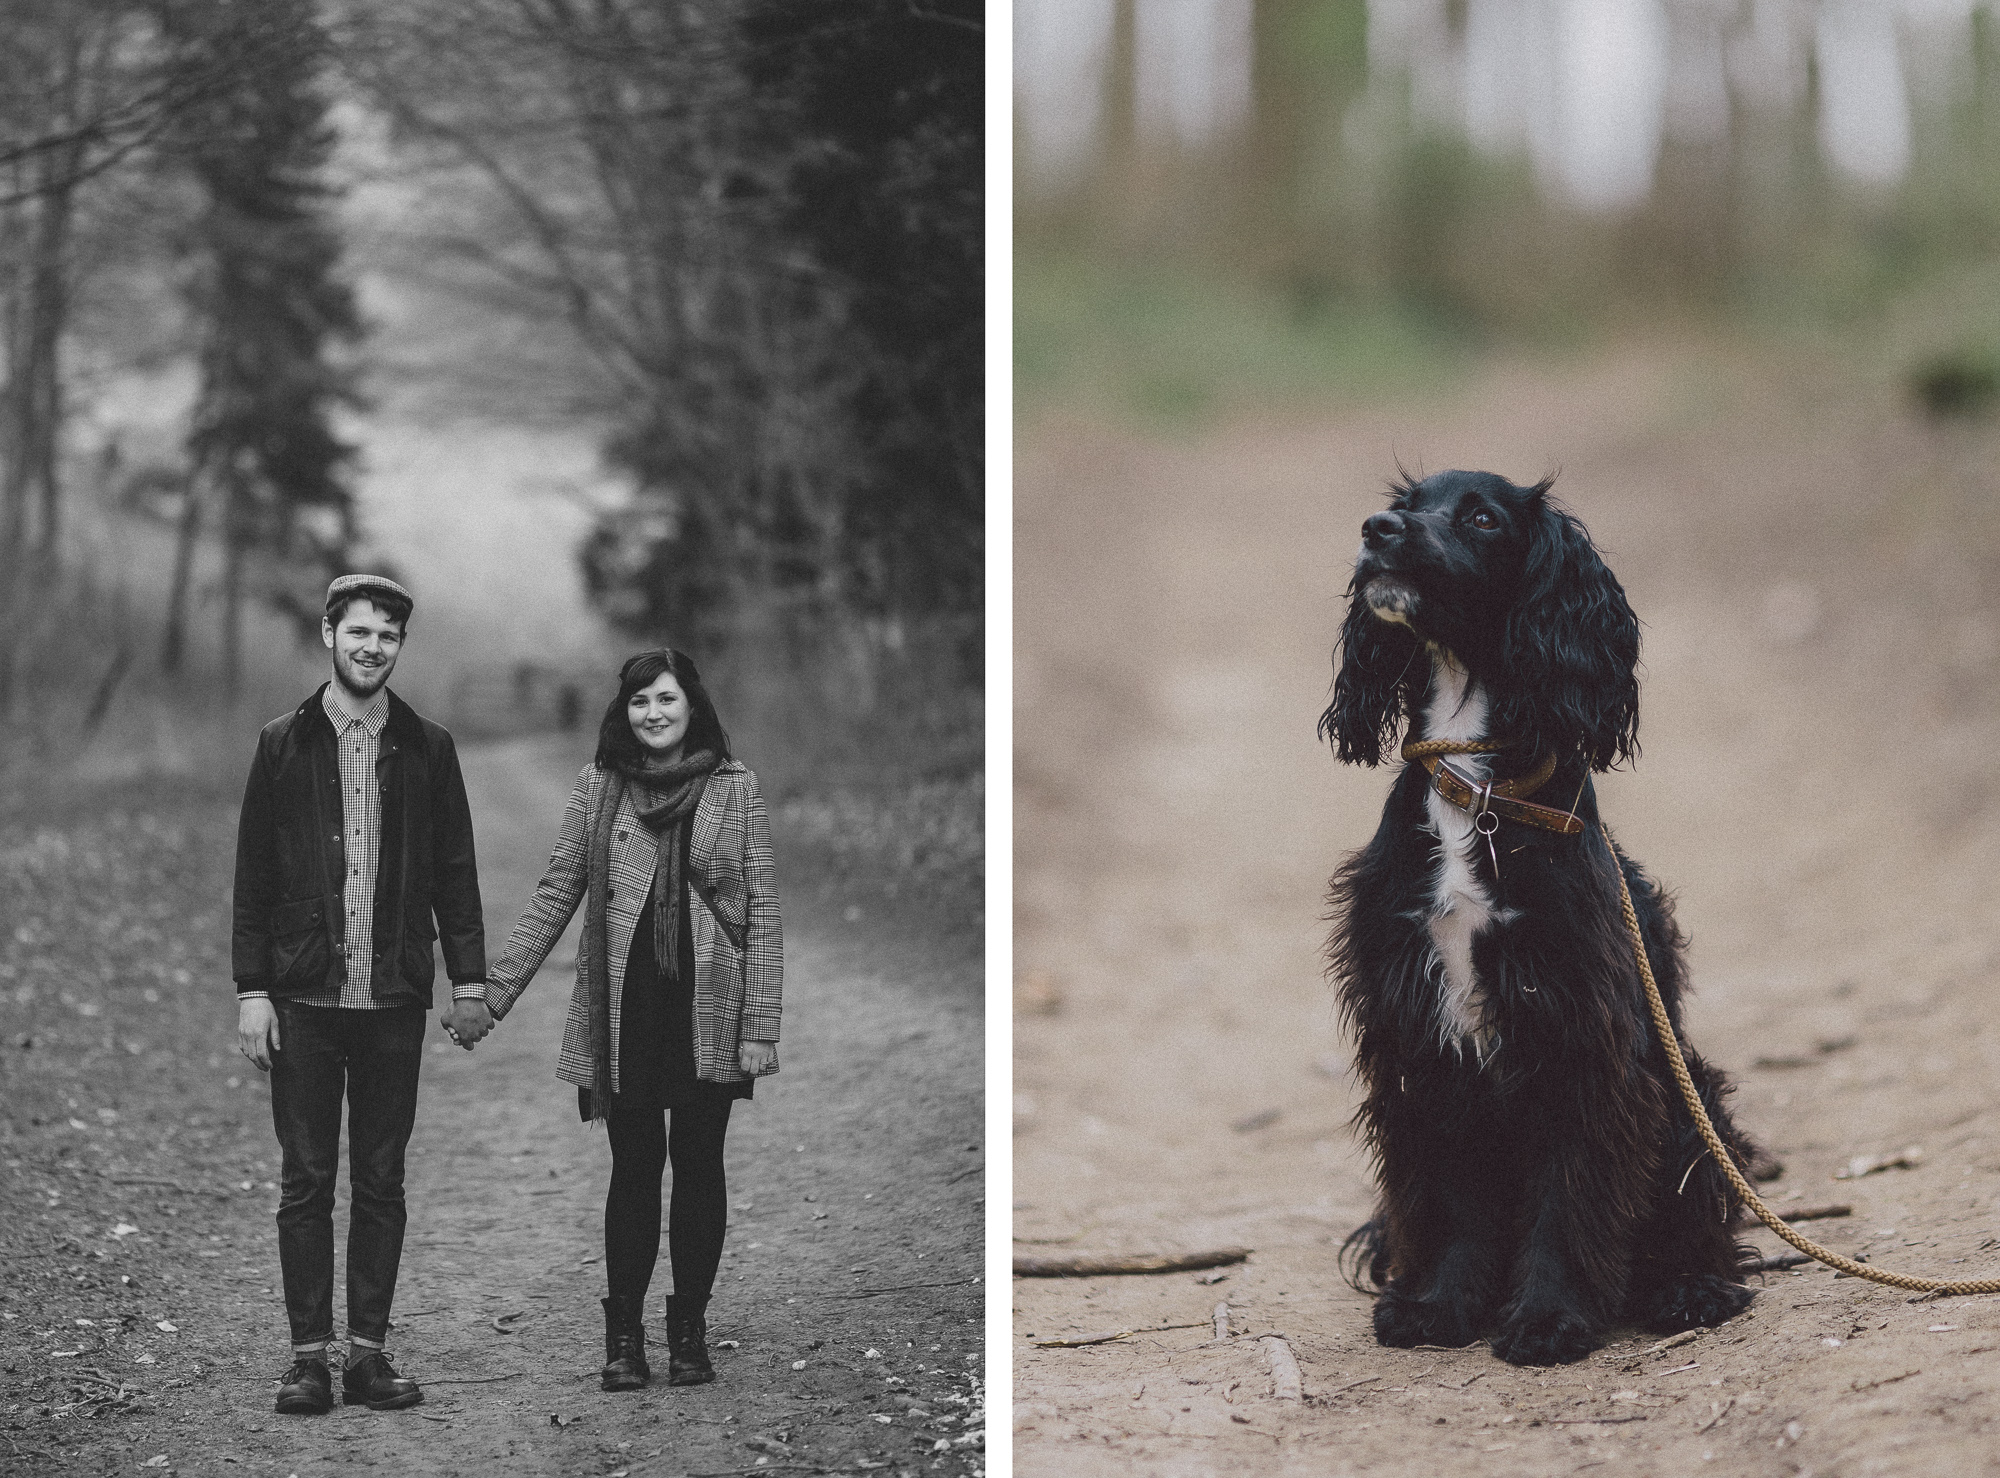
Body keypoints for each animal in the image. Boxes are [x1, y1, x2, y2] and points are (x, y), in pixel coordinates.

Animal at [1320, 472, 1760, 1368]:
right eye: (1406, 503)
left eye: (1484, 518)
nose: (1376, 529)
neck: (1475, 784)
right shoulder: (1422, 1035)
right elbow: (1453, 1197)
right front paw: (1440, 1306)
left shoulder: (1576, 1028)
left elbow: (1569, 1193)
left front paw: (1549, 1319)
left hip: (1688, 1098)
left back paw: (1689, 1287)